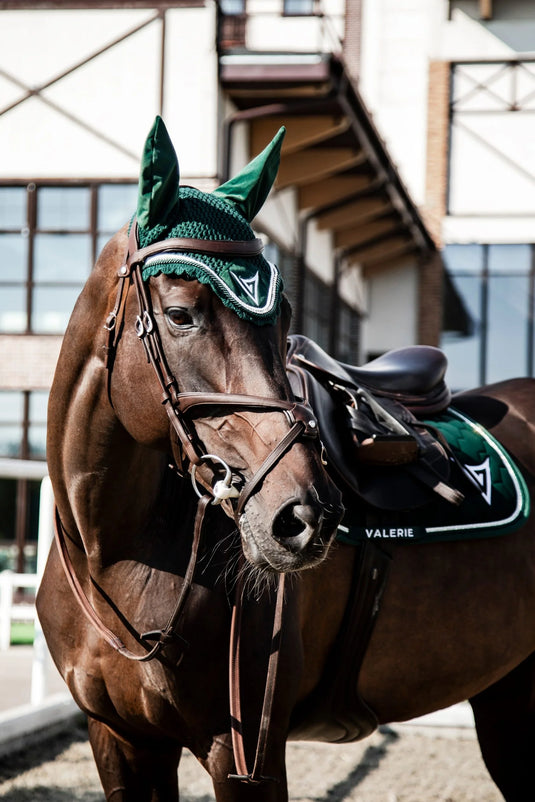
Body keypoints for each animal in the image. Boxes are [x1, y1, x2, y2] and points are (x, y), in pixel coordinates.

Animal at [37, 117, 535, 802]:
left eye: (284, 318)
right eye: (180, 314)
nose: (306, 517)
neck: (109, 552)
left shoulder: (244, 753)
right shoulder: (119, 740)